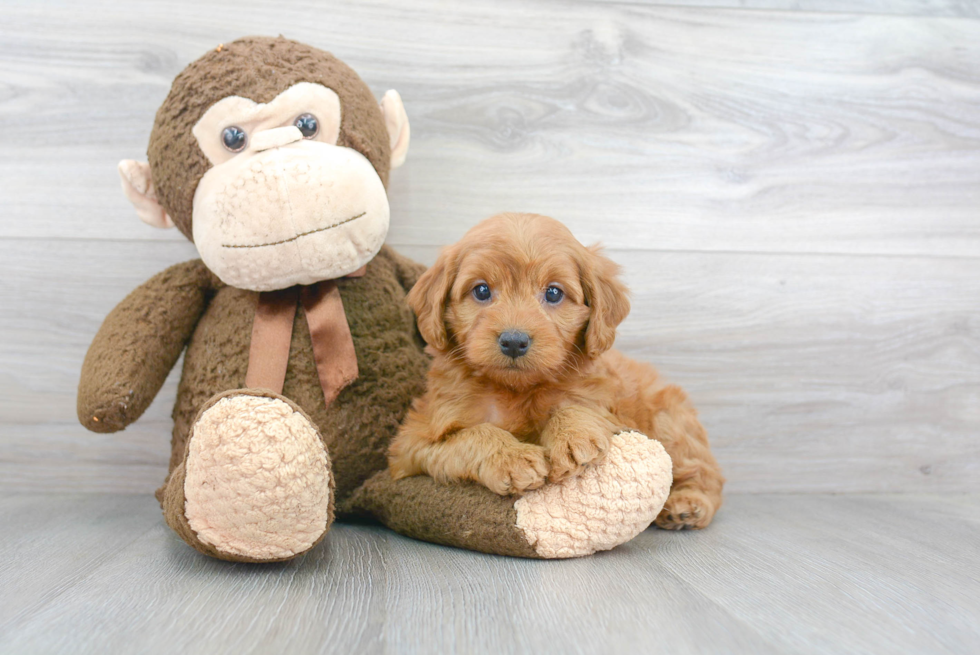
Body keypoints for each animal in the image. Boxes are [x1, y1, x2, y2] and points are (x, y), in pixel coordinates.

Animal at [386, 213, 724, 532]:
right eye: (481, 290)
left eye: (553, 293)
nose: (514, 341)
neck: (515, 391)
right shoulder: (412, 445)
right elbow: (475, 434)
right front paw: (512, 459)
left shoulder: (606, 403)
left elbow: (576, 406)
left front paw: (573, 438)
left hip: (669, 422)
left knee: (706, 473)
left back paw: (687, 505)